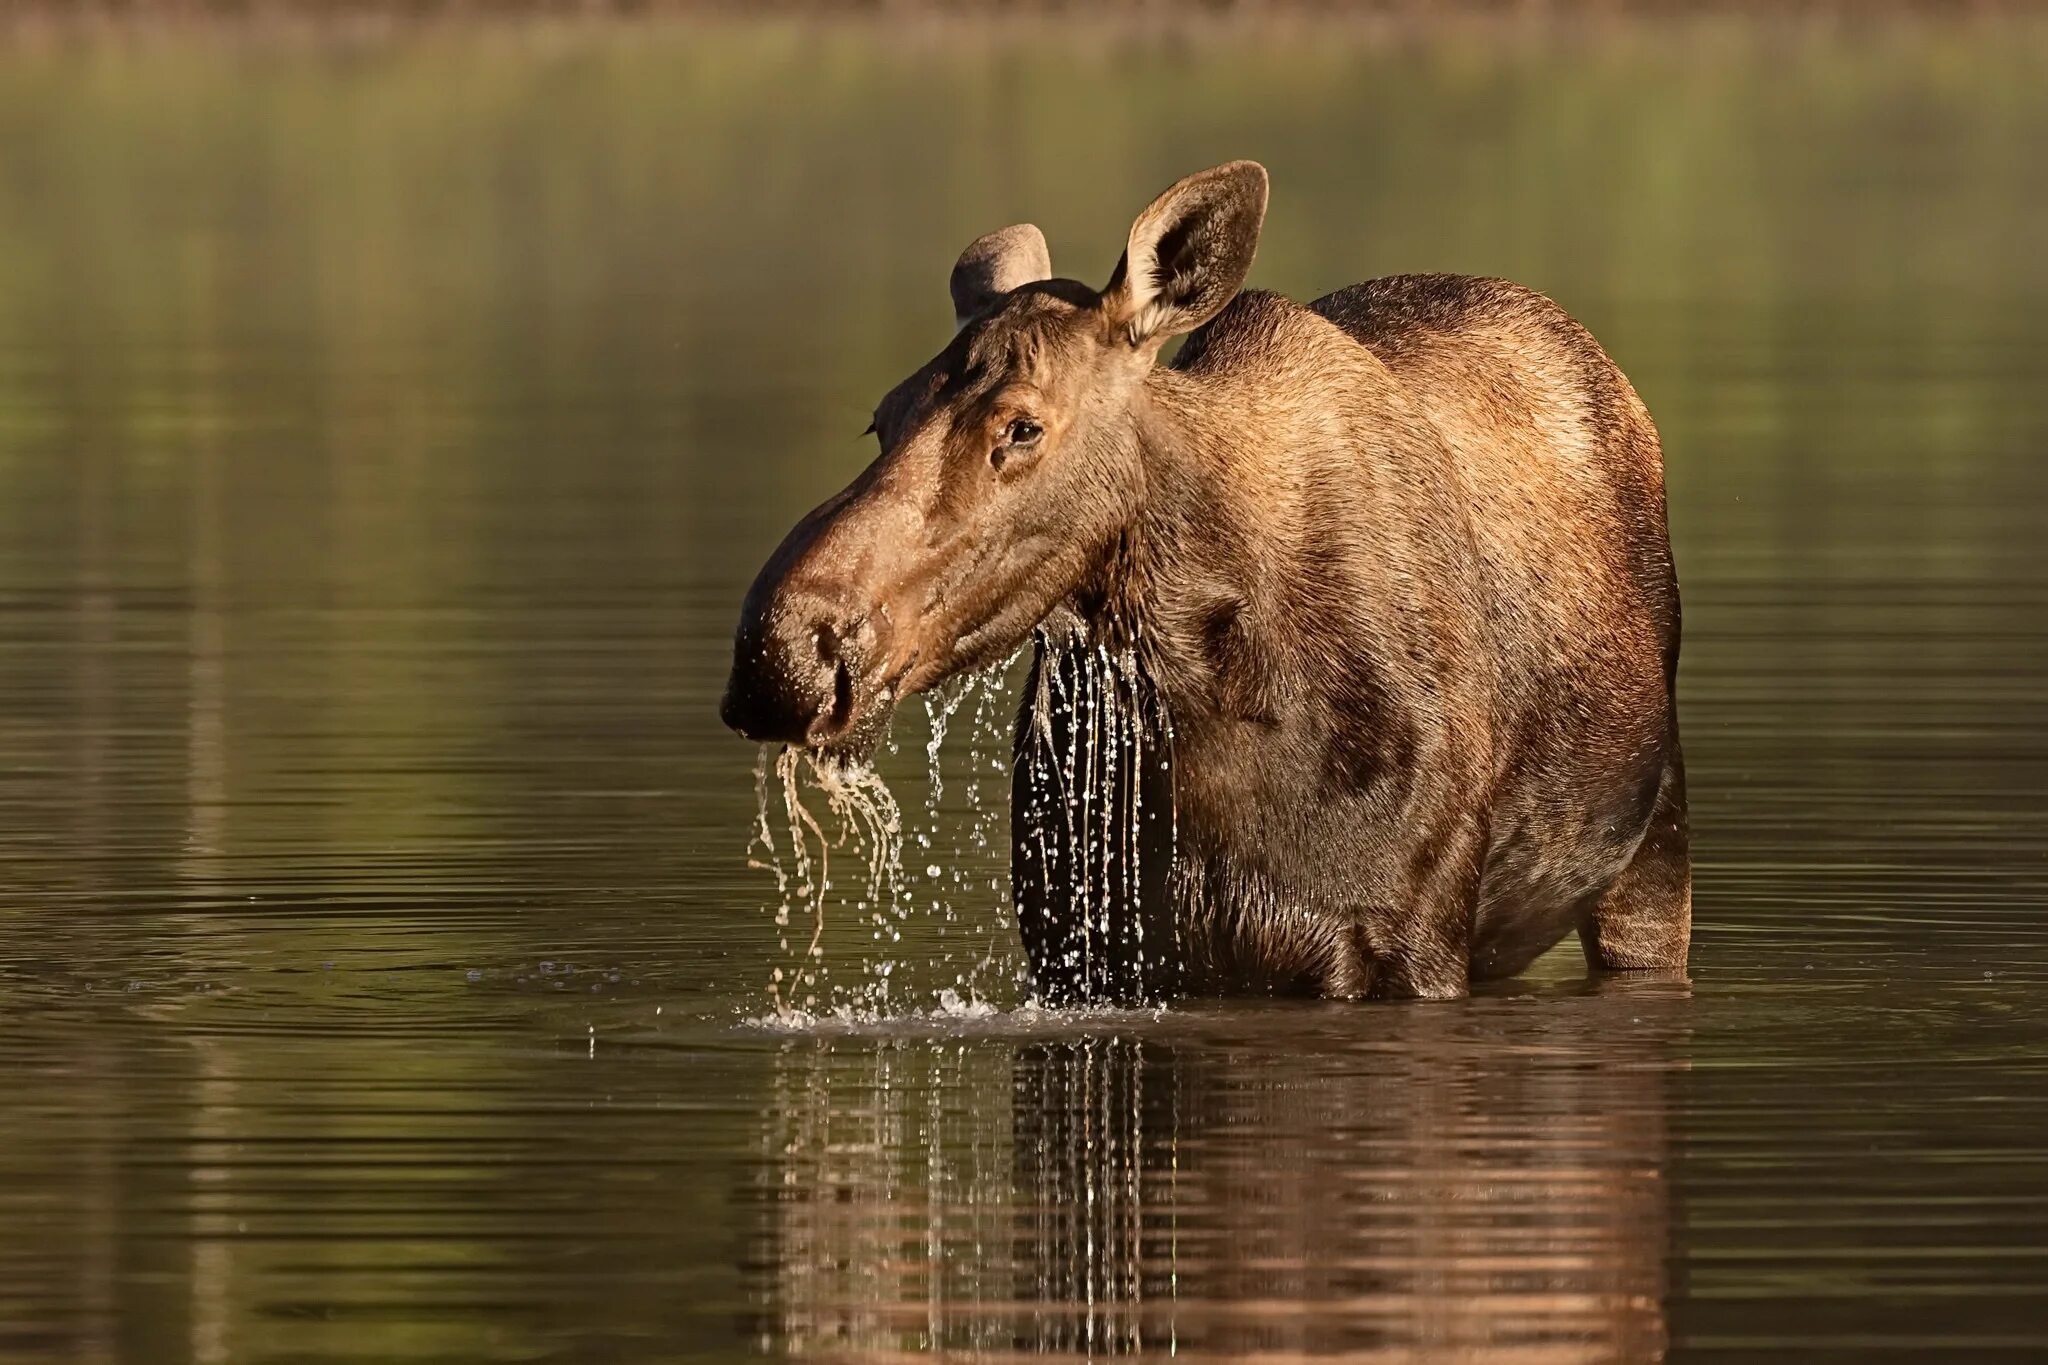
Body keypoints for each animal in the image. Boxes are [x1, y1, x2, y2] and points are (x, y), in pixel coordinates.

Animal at [720, 165, 1679, 1010]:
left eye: (1022, 425)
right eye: (883, 418)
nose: (783, 654)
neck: (1208, 701)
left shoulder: (1410, 940)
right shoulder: (1088, 946)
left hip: (1653, 845)